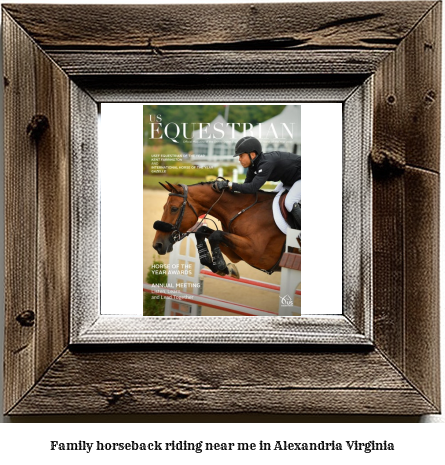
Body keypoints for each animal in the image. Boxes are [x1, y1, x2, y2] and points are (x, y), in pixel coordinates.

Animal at [152, 180, 284, 276]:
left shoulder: (256, 253)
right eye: (164, 207)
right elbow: (202, 232)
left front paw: (221, 266)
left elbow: (216, 235)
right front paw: (223, 268)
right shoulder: (235, 254)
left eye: (174, 208)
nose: (157, 245)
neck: (245, 210)